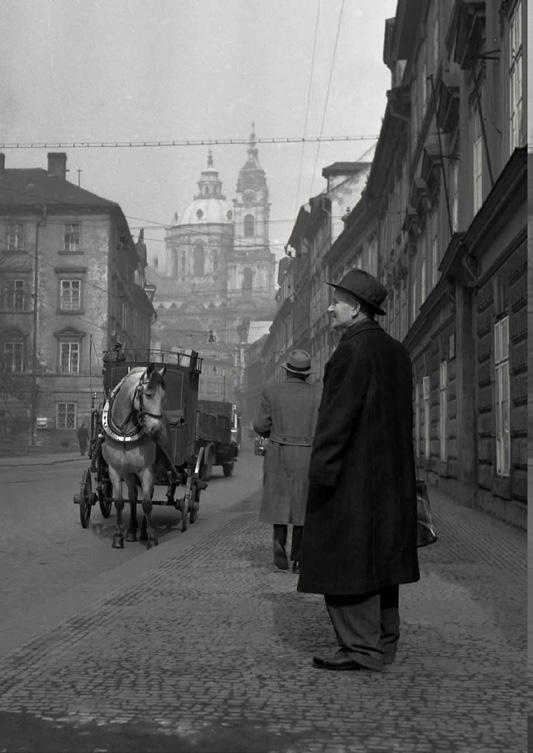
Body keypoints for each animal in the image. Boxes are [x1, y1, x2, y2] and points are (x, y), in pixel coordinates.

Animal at [100, 362, 166, 548]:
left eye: (163, 397)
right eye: (149, 395)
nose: (155, 430)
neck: (125, 434)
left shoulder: (147, 470)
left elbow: (147, 503)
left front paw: (151, 536)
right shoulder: (114, 470)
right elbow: (120, 502)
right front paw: (118, 536)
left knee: (146, 496)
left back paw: (142, 531)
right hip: (129, 473)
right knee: (133, 496)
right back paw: (131, 531)